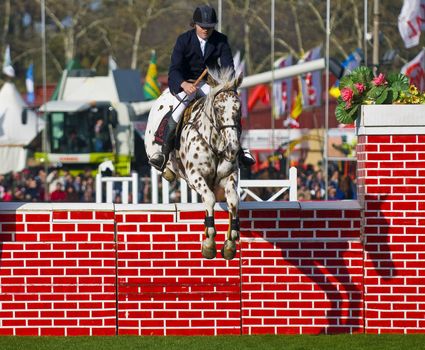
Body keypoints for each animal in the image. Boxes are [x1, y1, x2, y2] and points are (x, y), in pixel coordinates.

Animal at [144, 68, 242, 260]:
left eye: (238, 108)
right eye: (218, 109)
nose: (232, 148)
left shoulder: (230, 175)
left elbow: (233, 200)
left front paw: (230, 243)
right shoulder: (196, 175)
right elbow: (210, 198)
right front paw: (209, 243)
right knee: (160, 164)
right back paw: (165, 168)